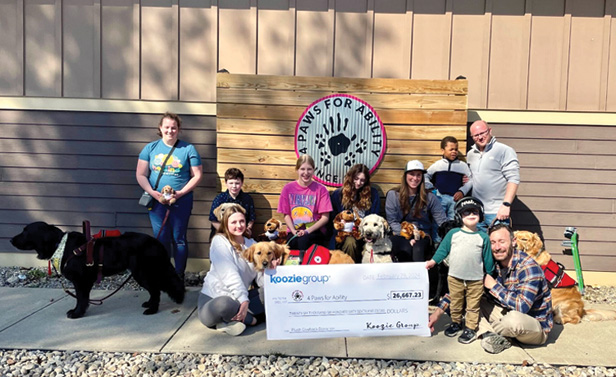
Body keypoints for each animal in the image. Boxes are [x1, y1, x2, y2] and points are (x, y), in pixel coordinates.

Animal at [10, 220, 184, 318]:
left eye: (26, 231)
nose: (11, 239)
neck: (61, 245)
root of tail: (157, 243)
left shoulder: (81, 281)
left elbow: (81, 299)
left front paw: (77, 313)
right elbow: (82, 299)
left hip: (142, 272)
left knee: (156, 290)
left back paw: (152, 310)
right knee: (154, 290)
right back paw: (149, 304)